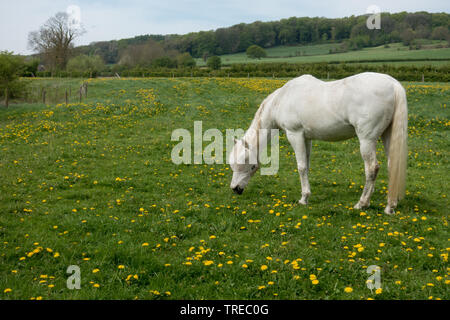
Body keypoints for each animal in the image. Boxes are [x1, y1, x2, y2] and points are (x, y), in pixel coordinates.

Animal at [230, 71, 410, 214]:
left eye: (249, 165)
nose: (235, 189)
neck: (281, 99)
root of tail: (393, 84)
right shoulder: (306, 138)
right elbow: (307, 166)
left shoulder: (295, 135)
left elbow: (301, 167)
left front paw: (304, 199)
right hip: (387, 136)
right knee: (392, 166)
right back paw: (390, 206)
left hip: (367, 140)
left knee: (372, 168)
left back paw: (362, 203)